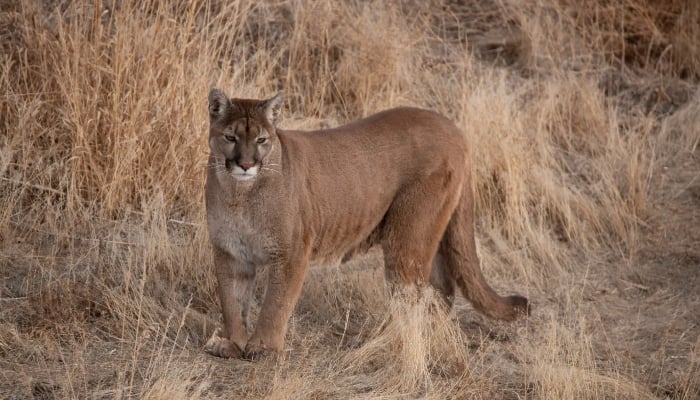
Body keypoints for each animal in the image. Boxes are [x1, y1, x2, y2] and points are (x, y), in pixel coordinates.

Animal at [203, 89, 529, 360]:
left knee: (412, 293)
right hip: (427, 231)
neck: (239, 194)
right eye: (230, 138)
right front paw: (232, 343)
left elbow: (275, 303)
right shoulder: (229, 252)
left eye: (261, 140)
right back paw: (432, 333)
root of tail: (453, 127)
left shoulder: (290, 254)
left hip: (407, 237)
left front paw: (263, 348)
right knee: (442, 287)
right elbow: (232, 302)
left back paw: (390, 342)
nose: (246, 165)